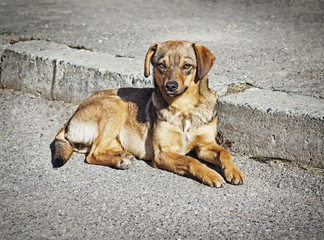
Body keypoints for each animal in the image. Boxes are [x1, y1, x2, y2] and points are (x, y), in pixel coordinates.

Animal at [53, 40, 244, 188]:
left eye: (187, 66)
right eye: (161, 65)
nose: (171, 86)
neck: (184, 108)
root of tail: (69, 120)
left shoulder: (205, 146)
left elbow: (225, 153)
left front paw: (234, 171)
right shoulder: (162, 153)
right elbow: (191, 161)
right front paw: (211, 175)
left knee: (99, 149)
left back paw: (121, 155)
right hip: (116, 105)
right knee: (92, 154)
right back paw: (119, 161)